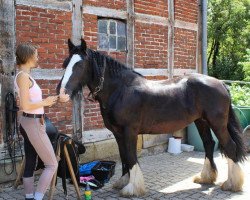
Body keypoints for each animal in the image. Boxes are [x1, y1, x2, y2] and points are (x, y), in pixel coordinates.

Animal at [56, 38, 246, 197]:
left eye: (80, 65)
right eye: (65, 64)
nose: (62, 94)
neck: (120, 90)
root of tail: (220, 83)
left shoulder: (130, 132)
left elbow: (131, 157)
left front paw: (133, 189)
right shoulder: (118, 133)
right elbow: (124, 157)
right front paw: (123, 182)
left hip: (217, 123)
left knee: (229, 146)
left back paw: (232, 184)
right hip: (201, 121)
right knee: (209, 144)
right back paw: (206, 178)